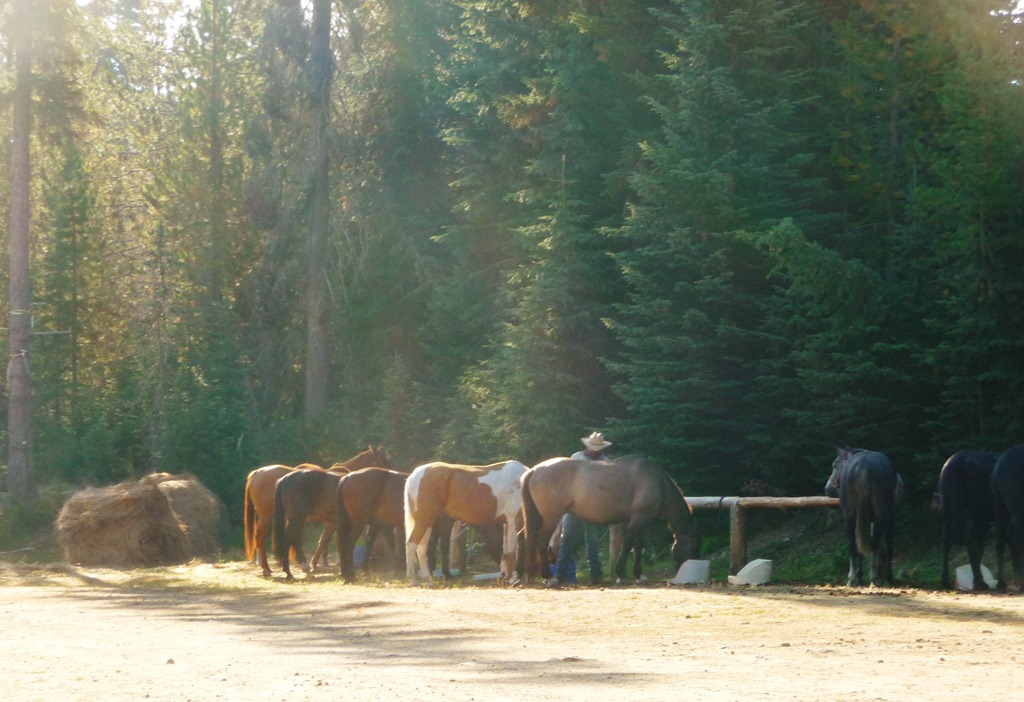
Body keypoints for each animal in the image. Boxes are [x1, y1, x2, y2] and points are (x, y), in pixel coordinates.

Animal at [244, 445, 390, 576]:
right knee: (261, 536)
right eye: (383, 460)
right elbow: (325, 540)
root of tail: (257, 472)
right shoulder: (333, 523)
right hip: (268, 516)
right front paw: (317, 564)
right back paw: (267, 568)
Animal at [520, 455, 700, 584]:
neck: (656, 481)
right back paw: (549, 577)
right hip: (551, 517)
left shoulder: (636, 522)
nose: (692, 564)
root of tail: (534, 470)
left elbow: (637, 546)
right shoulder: (638, 519)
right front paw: (622, 573)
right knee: (541, 543)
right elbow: (628, 543)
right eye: (694, 547)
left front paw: (638, 575)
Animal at [824, 447, 904, 587]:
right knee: (875, 543)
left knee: (854, 544)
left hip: (851, 516)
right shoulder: (887, 520)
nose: (827, 489)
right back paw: (877, 578)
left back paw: (858, 578)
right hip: (880, 517)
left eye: (834, 465)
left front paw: (856, 577)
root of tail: (863, 466)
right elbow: (886, 548)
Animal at [935, 449, 999, 590]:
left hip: (948, 510)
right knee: (973, 544)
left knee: (946, 542)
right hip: (979, 514)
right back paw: (980, 583)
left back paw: (945, 582)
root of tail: (961, 460)